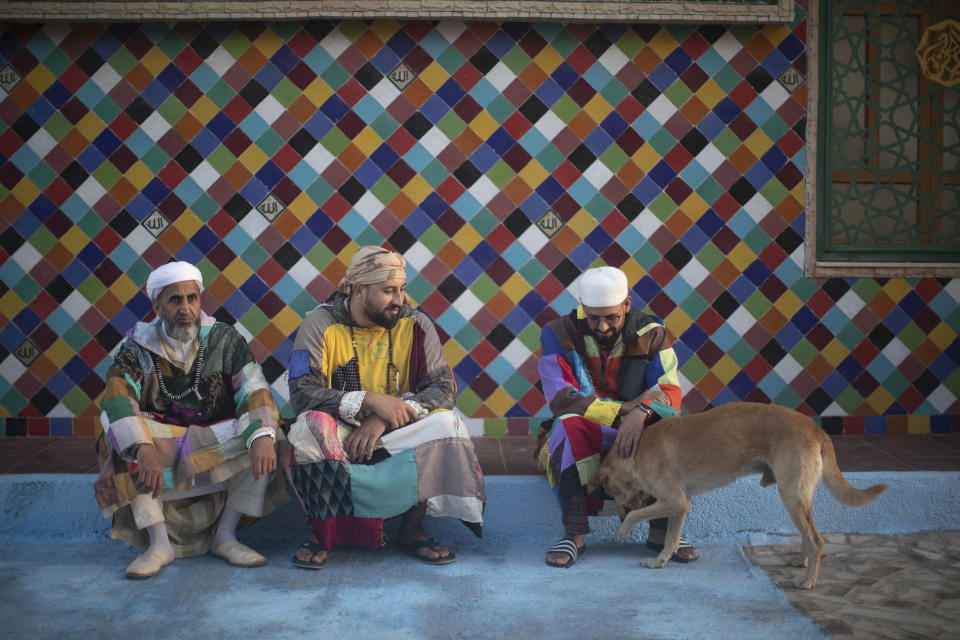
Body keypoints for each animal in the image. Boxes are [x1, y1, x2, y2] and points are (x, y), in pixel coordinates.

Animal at [588, 402, 888, 588]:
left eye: (611, 491)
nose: (620, 515)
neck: (636, 452)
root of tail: (816, 428)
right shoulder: (681, 506)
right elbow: (671, 539)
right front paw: (660, 561)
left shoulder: (674, 501)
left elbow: (641, 513)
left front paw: (625, 529)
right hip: (798, 496)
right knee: (808, 534)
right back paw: (802, 562)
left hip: (791, 495)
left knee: (816, 539)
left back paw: (808, 581)